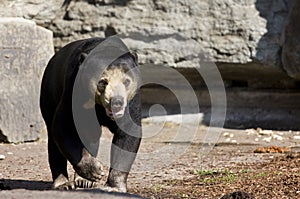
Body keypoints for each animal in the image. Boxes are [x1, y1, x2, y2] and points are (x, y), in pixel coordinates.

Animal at [39, 35, 142, 191]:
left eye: (127, 81)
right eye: (102, 82)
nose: (117, 102)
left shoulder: (131, 102)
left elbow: (128, 133)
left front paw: (113, 187)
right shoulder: (74, 91)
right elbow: (64, 126)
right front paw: (96, 171)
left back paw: (83, 181)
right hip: (49, 93)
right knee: (53, 141)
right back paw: (64, 184)